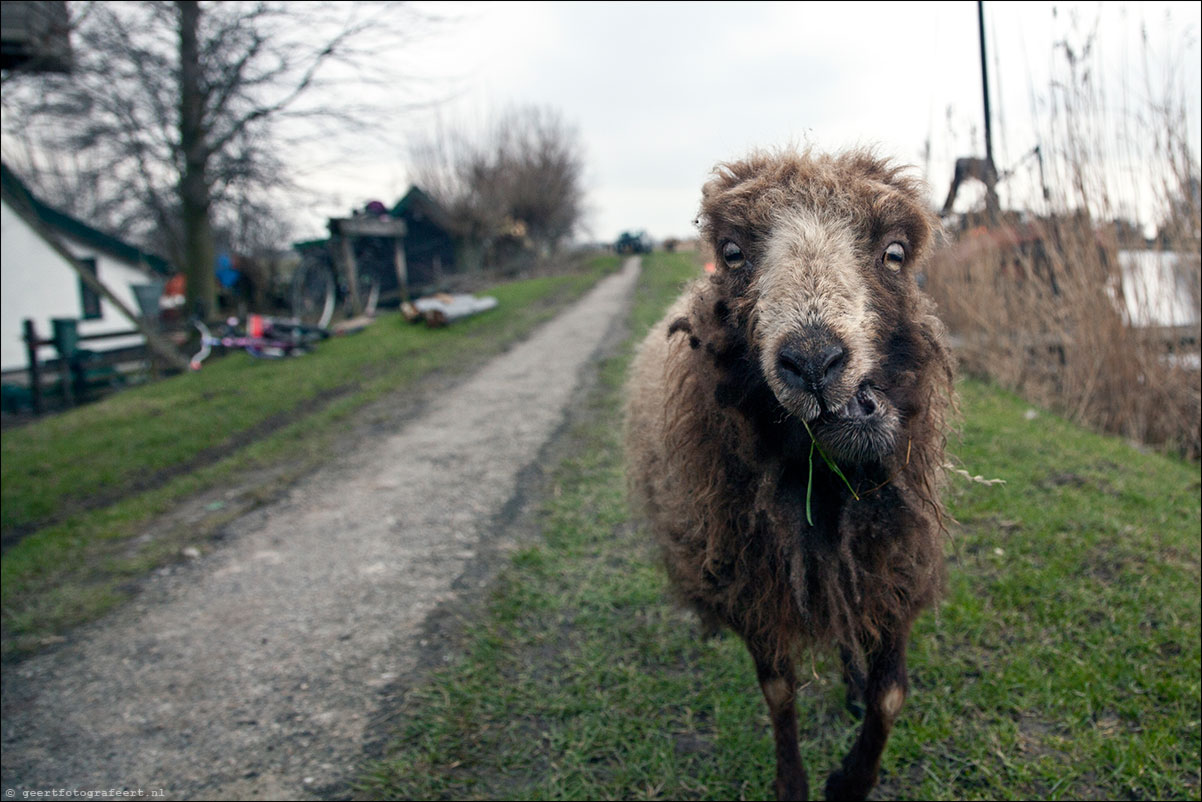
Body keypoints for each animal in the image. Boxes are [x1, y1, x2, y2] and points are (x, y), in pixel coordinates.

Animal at [625, 147, 951, 798]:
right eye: (731, 252)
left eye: (895, 252)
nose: (814, 361)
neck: (822, 484)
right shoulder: (751, 583)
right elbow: (779, 694)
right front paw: (793, 783)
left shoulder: (893, 565)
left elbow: (891, 694)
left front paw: (850, 781)